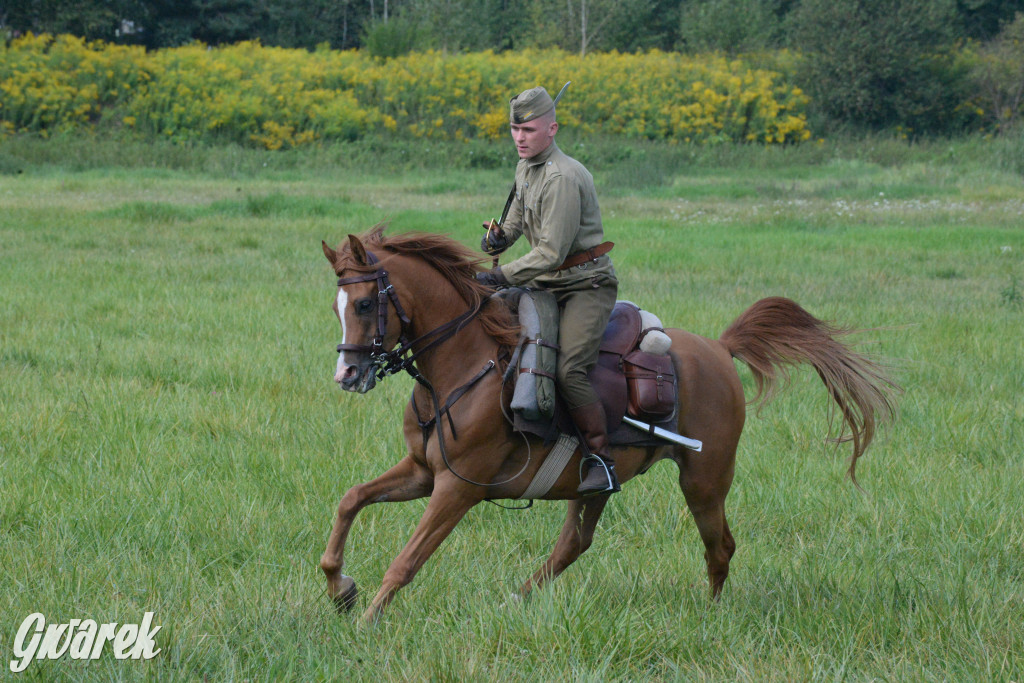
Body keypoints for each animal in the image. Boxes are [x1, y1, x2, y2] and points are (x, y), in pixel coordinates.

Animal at [319, 227, 897, 622]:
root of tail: (718, 348)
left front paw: (367, 621)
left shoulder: (457, 489)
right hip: (592, 482)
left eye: (366, 303)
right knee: (573, 545)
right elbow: (350, 499)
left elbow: (407, 560)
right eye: (337, 304)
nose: (347, 374)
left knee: (720, 547)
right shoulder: (422, 472)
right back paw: (514, 602)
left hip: (704, 480)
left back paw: (709, 616)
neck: (465, 364)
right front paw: (340, 589)